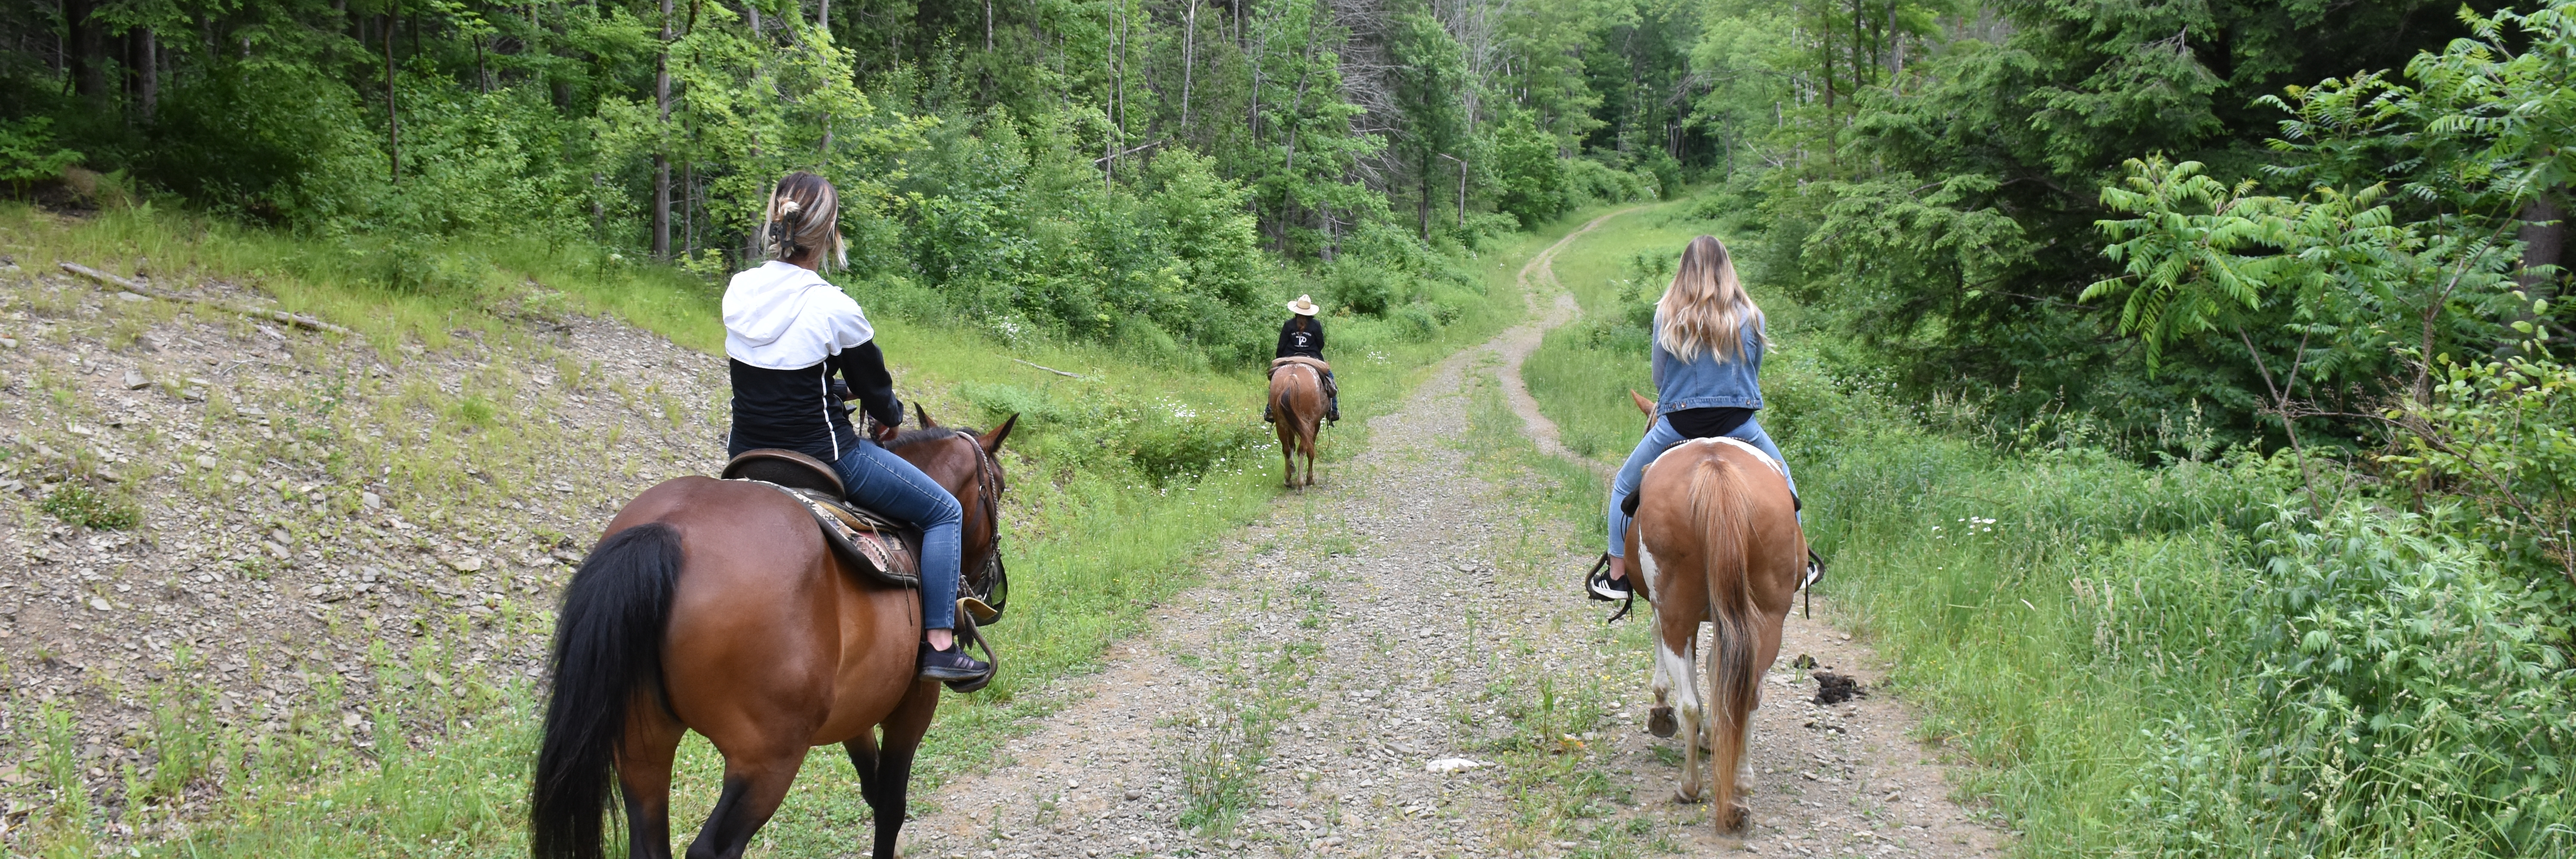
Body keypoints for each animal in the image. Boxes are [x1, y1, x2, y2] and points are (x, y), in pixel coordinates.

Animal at [531, 407, 1015, 856]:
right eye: (1002, 485)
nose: (992, 584)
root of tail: (668, 531)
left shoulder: (853, 713)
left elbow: (874, 790)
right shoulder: (913, 706)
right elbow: (892, 804)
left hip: (641, 748)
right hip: (767, 760)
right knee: (714, 847)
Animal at [1267, 356, 1329, 487]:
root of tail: (1291, 379)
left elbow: (1291, 447)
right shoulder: (1315, 425)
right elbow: (1311, 451)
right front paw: (1310, 479)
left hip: (1281, 424)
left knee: (1286, 449)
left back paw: (1288, 479)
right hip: (1307, 425)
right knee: (1302, 449)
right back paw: (1301, 483)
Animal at [1618, 387, 1803, 830]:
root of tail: (1716, 470)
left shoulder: (1666, 612)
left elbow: (1669, 657)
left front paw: (1662, 712)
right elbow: (1719, 671)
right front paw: (1715, 739)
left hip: (1677, 613)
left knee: (1690, 703)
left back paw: (1690, 786)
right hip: (1767, 620)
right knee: (1748, 694)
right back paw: (1739, 793)